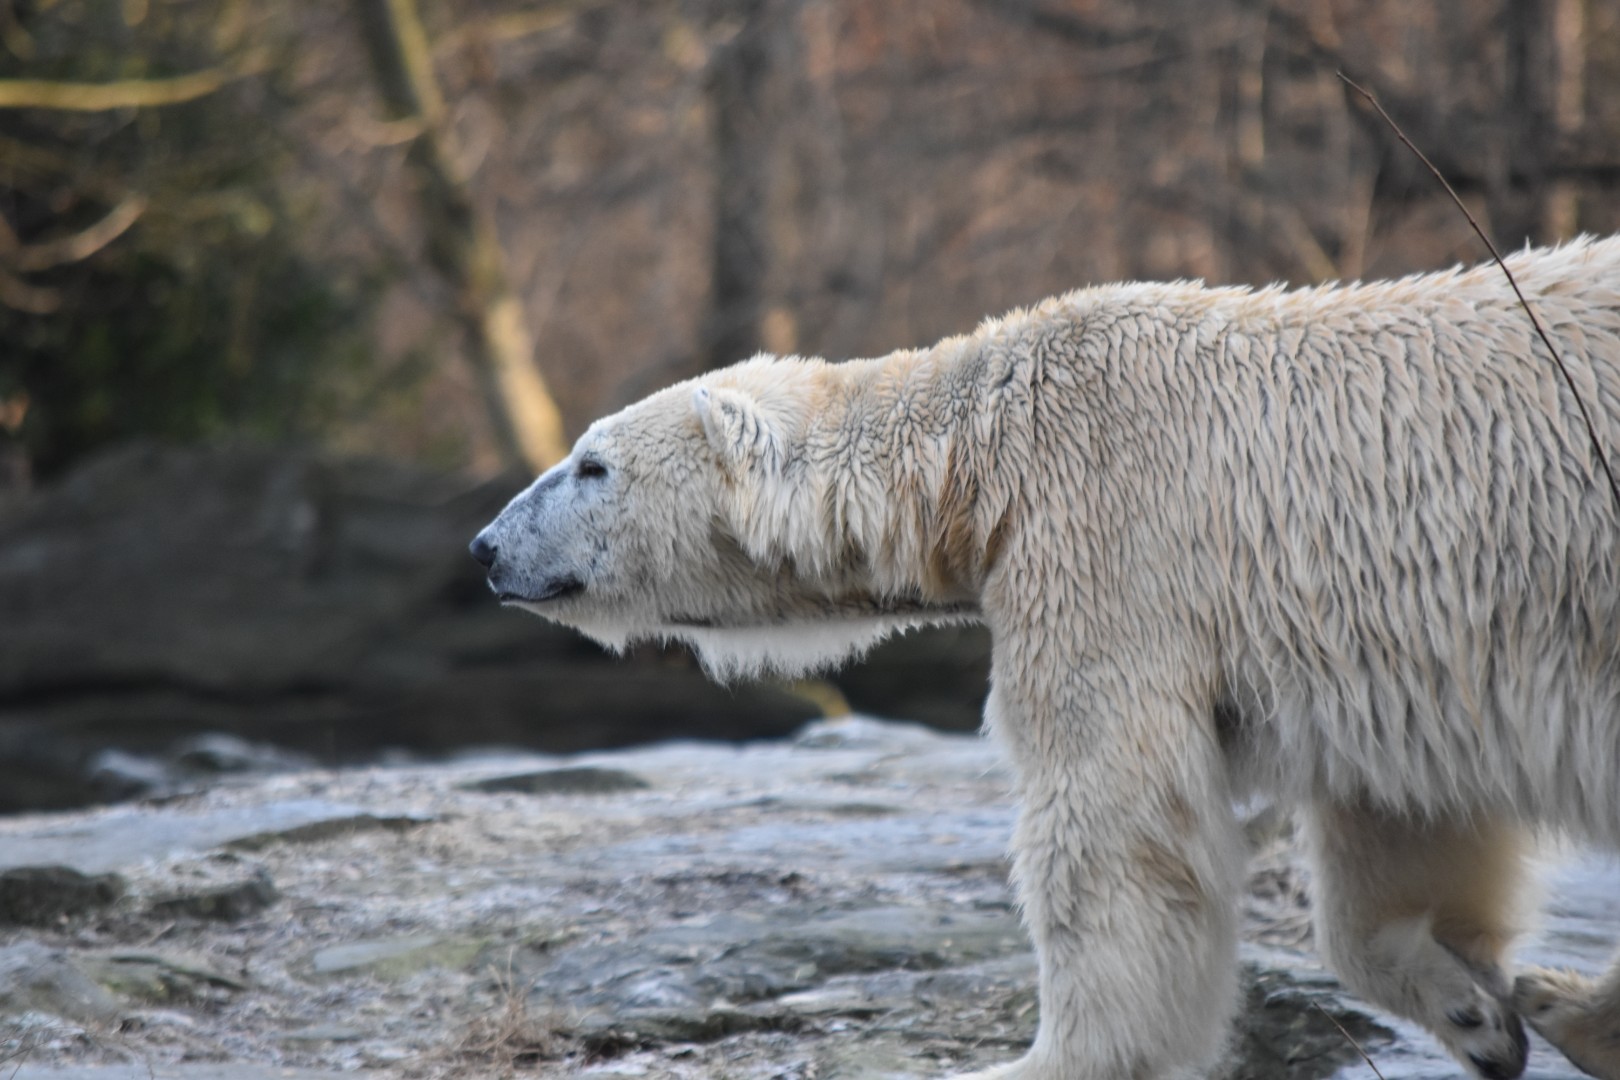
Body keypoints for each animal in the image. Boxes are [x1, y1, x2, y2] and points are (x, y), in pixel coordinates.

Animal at [471, 236, 1620, 1080]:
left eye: (590, 463)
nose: (484, 548)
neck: (985, 452)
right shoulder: (1383, 641)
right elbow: (1400, 819)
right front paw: (1475, 1010)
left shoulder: (1109, 541)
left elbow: (1110, 820)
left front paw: (1049, 1061)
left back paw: (1578, 1004)